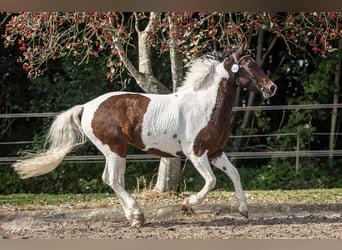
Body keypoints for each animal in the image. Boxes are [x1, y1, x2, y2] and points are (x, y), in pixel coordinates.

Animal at [12, 43, 278, 227]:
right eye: (249, 65)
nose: (272, 87)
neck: (204, 104)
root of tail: (86, 107)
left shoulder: (215, 152)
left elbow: (234, 174)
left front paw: (244, 210)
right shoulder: (196, 154)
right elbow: (211, 181)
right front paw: (187, 205)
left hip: (117, 151)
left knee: (112, 180)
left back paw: (134, 216)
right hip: (115, 149)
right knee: (113, 179)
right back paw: (137, 216)